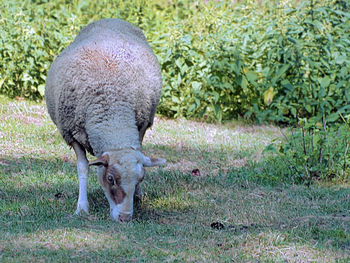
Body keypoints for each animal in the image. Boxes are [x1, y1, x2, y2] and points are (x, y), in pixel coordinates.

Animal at [45, 17, 166, 222]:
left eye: (140, 178)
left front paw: (138, 195)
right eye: (110, 179)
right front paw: (82, 207)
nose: (125, 217)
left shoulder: (140, 125)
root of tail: (111, 18)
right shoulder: (71, 134)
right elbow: (83, 168)